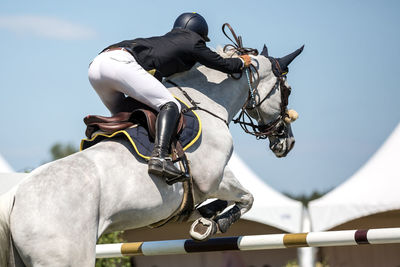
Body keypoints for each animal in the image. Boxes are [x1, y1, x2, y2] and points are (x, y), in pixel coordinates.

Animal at [0, 43, 300, 266]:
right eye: (287, 90)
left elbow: (217, 203)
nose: (287, 142)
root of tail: (14, 196)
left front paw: (208, 216)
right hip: (69, 256)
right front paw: (215, 223)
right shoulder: (213, 179)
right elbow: (247, 197)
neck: (208, 104)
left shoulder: (201, 190)